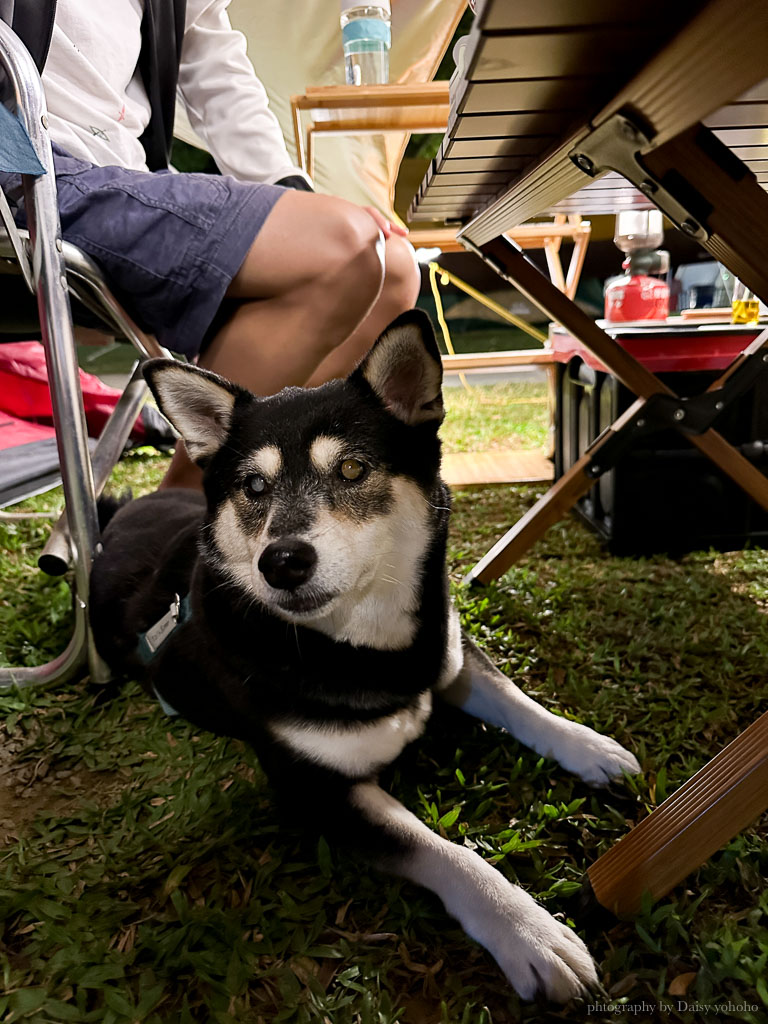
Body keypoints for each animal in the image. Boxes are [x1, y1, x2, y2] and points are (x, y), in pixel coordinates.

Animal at [91, 309, 643, 999]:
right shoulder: (315, 788)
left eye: (352, 470)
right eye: (254, 486)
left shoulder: (445, 654)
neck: (365, 644)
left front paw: (589, 747)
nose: (282, 561)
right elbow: (443, 851)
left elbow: (521, 701)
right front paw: (529, 933)